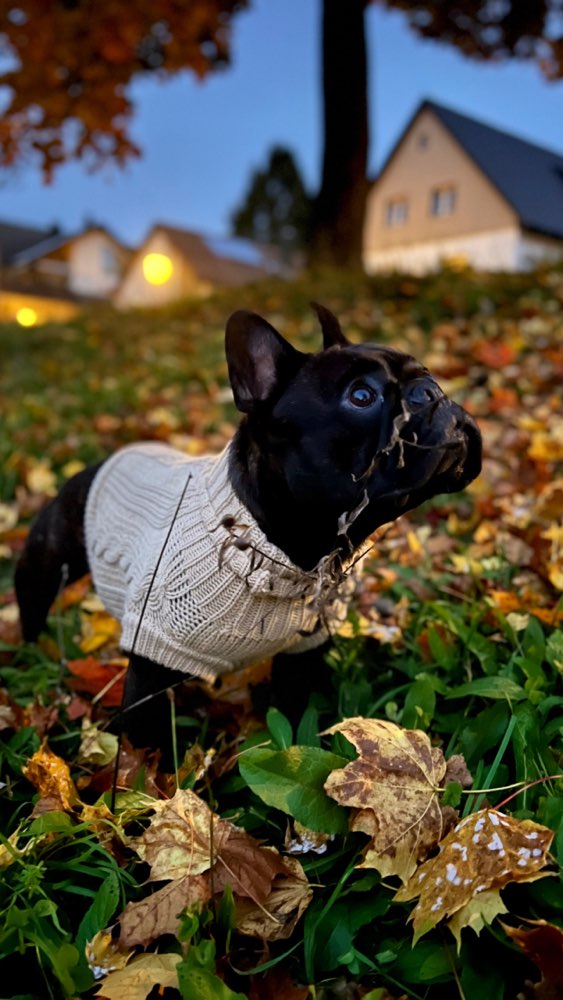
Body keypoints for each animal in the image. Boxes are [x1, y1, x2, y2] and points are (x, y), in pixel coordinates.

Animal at [14, 308, 480, 752]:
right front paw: (142, 777)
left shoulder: (302, 654)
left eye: (428, 374)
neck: (288, 551)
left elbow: (293, 709)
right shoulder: (153, 660)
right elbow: (144, 743)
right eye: (361, 396)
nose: (432, 392)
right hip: (43, 566)